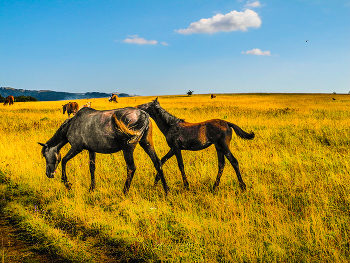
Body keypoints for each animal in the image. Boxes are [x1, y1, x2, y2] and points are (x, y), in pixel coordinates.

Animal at [37, 107, 169, 196]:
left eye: (45, 156)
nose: (48, 174)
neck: (71, 124)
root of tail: (143, 114)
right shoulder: (91, 150)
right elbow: (92, 168)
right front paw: (92, 188)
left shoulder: (76, 148)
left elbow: (64, 161)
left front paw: (67, 183)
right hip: (147, 143)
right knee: (158, 163)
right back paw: (166, 191)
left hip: (128, 148)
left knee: (131, 168)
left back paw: (124, 192)